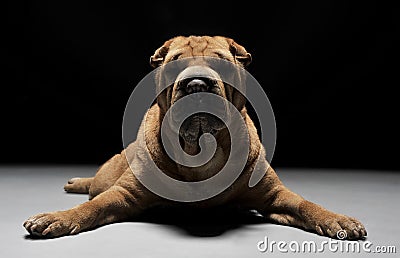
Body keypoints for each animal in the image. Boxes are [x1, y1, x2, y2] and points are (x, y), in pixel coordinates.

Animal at [21, 35, 366, 240]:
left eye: (221, 64)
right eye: (175, 65)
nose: (197, 84)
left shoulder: (275, 196)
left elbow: (307, 204)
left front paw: (338, 220)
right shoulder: (123, 195)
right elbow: (91, 208)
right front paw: (57, 217)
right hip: (108, 175)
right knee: (94, 187)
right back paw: (76, 183)